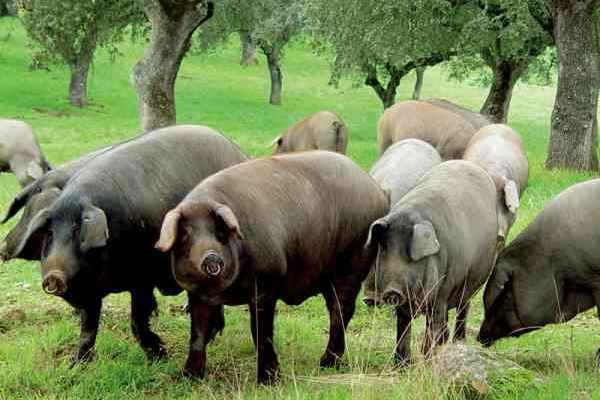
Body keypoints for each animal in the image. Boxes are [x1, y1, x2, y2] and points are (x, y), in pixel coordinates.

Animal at [11, 126, 246, 366]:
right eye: (50, 234)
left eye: (78, 231)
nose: (53, 277)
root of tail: (238, 151)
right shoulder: (93, 287)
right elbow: (88, 327)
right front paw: (76, 365)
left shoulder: (143, 277)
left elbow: (137, 319)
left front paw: (160, 356)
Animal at [155, 151, 390, 384]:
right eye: (185, 235)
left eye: (219, 231)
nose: (211, 257)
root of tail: (377, 189)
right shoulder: (197, 294)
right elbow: (197, 333)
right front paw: (188, 377)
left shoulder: (266, 283)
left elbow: (260, 331)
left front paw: (268, 381)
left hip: (353, 263)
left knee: (341, 310)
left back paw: (326, 363)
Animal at [366, 160, 496, 366]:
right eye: (384, 249)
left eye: (410, 255)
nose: (392, 291)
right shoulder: (406, 304)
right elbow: (403, 327)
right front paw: (401, 365)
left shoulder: (443, 290)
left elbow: (433, 324)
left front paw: (428, 362)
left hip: (470, 282)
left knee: (462, 309)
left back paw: (457, 342)